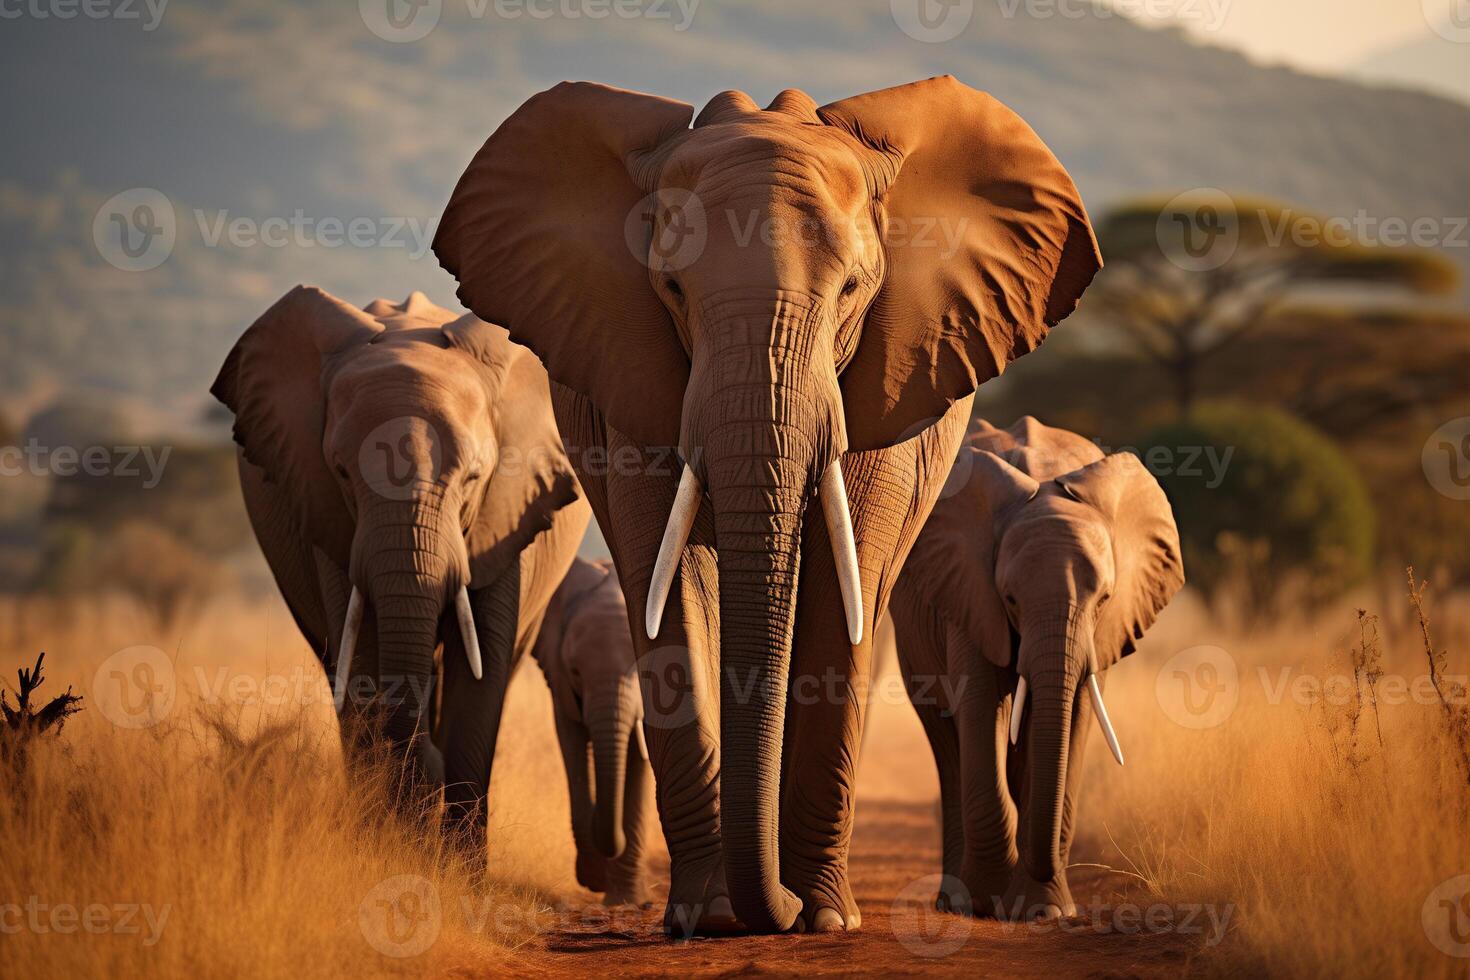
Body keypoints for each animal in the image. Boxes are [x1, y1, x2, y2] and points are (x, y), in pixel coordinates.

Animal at [532, 555, 652, 910]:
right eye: (575, 672)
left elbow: (639, 764)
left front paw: (626, 901)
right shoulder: (559, 683)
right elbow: (571, 745)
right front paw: (595, 878)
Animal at [882, 417, 1181, 922]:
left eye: (1104, 598)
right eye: (1010, 598)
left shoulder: (1097, 637)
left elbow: (1074, 717)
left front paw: (1046, 912)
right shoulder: (969, 594)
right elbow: (981, 707)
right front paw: (988, 903)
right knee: (947, 740)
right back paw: (956, 902)